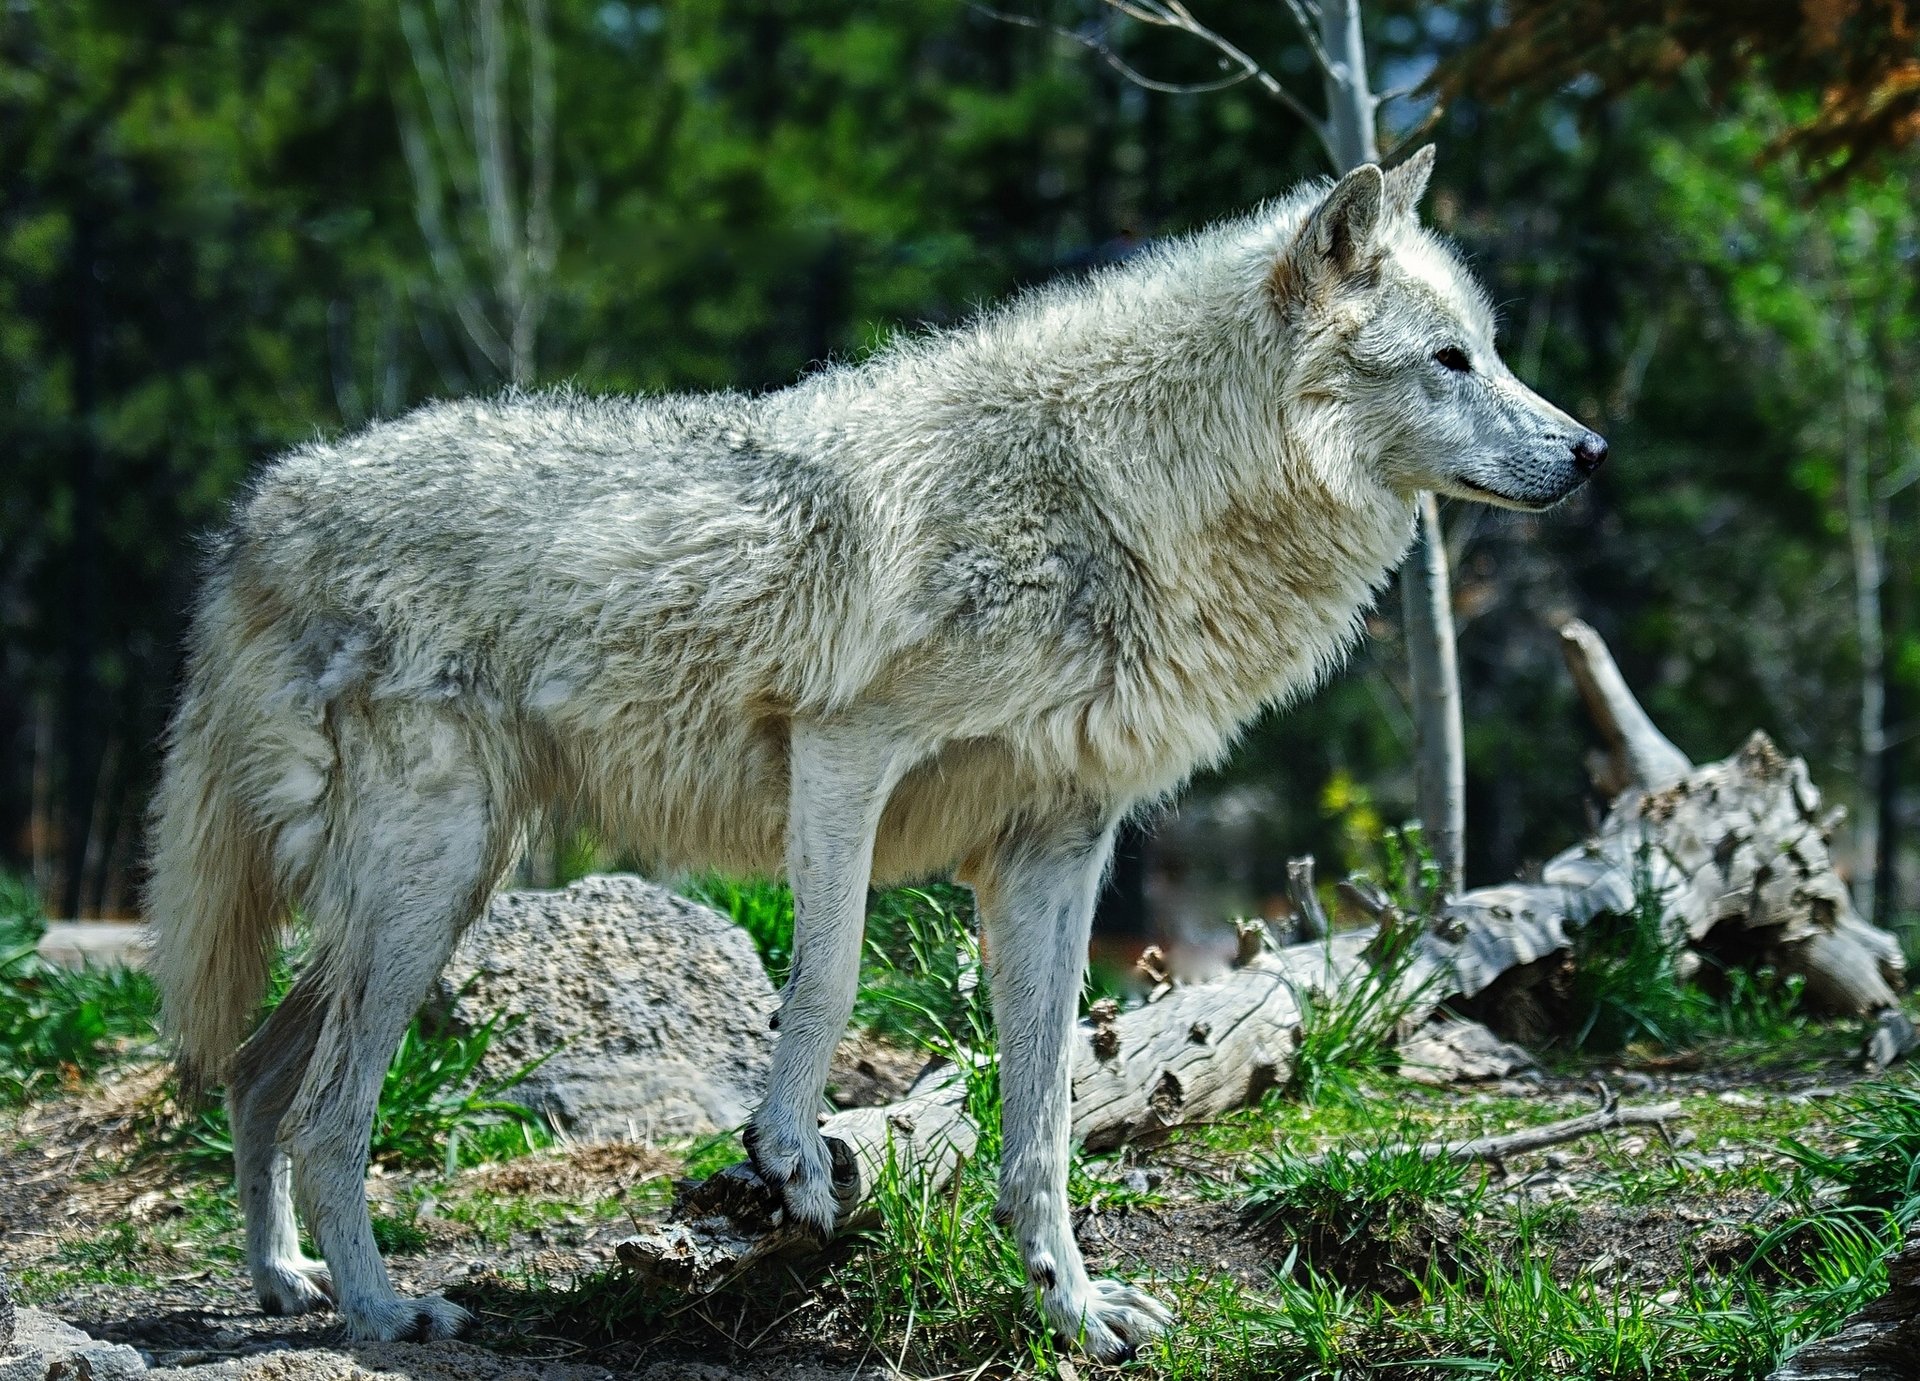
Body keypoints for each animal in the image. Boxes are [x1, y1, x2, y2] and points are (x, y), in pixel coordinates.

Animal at [146, 146, 1603, 1362]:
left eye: (1491, 351)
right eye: (1450, 360)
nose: (1592, 451)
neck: (1119, 489)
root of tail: (260, 509)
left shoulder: (1059, 848)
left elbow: (1047, 1109)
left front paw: (1070, 1305)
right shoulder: (844, 751)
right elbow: (832, 977)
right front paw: (789, 1155)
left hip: (436, 890)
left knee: (260, 1072)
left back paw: (286, 1282)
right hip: (430, 881)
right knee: (329, 1107)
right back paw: (382, 1309)